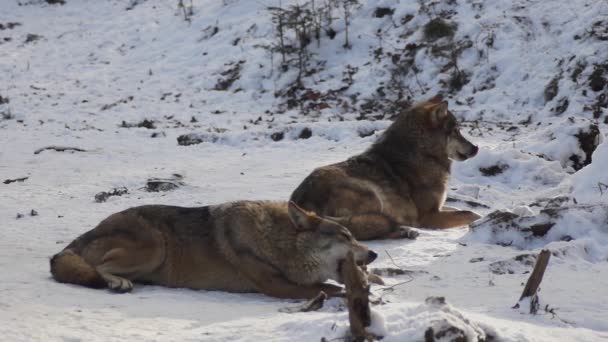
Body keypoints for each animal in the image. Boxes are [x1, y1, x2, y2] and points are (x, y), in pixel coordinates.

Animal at [50, 200, 378, 300]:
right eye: (346, 236)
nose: (374, 254)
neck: (276, 242)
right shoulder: (277, 287)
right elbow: (329, 287)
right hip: (155, 246)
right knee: (99, 268)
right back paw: (118, 283)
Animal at [290, 96, 480, 240]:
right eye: (456, 131)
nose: (476, 148)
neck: (424, 153)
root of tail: (302, 202)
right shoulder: (429, 216)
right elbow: (470, 213)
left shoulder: (439, 208)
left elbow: (460, 210)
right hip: (371, 193)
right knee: (363, 229)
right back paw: (403, 230)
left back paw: (405, 231)